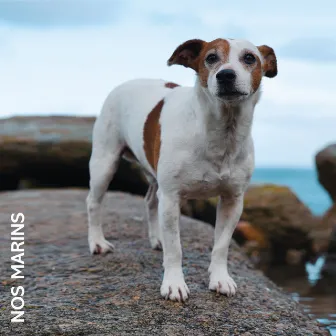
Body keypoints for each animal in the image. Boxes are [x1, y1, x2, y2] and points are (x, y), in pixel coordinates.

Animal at [86, 36, 278, 302]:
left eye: (249, 58)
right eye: (211, 57)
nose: (225, 75)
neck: (221, 132)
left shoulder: (233, 200)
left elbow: (221, 245)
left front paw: (220, 278)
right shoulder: (171, 197)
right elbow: (175, 248)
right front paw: (174, 284)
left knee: (150, 201)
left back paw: (157, 238)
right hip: (104, 162)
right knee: (94, 202)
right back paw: (97, 243)